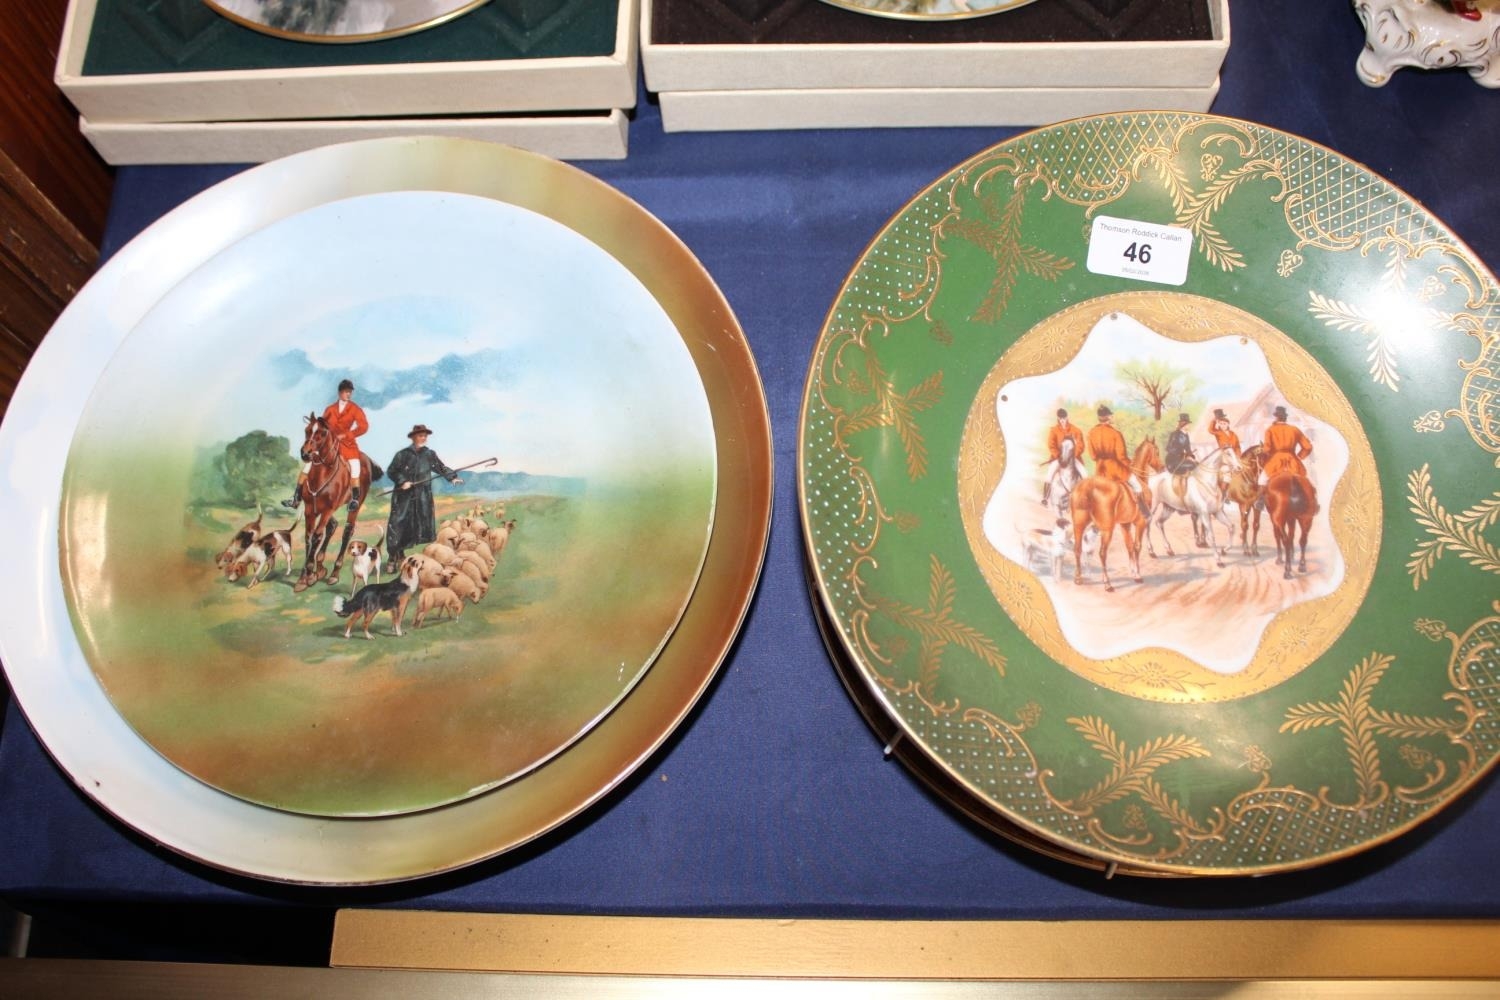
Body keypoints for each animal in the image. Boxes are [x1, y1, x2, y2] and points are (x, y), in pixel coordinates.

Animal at [291, 412, 375, 593]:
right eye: (307, 430)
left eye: (322, 433)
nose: (305, 454)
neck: (321, 473)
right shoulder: (310, 509)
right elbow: (309, 536)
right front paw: (304, 577)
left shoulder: (328, 509)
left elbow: (316, 536)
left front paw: (309, 574)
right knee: (332, 526)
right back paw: (321, 566)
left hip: (354, 507)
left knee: (347, 531)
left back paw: (334, 573)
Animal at [1070, 439, 1156, 593]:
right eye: (1156, 451)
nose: (1162, 466)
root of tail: (1087, 487)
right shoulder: (1140, 523)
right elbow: (1137, 547)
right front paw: (1138, 574)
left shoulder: (1125, 525)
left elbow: (1129, 546)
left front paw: (1133, 572)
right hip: (1106, 530)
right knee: (1102, 553)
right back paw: (1107, 584)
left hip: (1078, 525)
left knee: (1077, 548)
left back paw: (1078, 579)